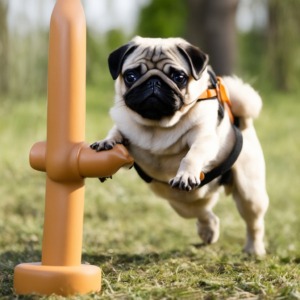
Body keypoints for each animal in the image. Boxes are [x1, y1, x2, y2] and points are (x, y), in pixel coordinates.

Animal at [91, 36, 270, 254]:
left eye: (179, 77)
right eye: (131, 76)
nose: (154, 81)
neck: (157, 126)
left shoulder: (204, 138)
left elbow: (192, 156)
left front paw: (186, 174)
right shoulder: (124, 128)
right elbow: (115, 132)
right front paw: (107, 142)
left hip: (250, 193)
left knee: (254, 223)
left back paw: (254, 249)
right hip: (181, 203)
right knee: (203, 211)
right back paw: (208, 230)